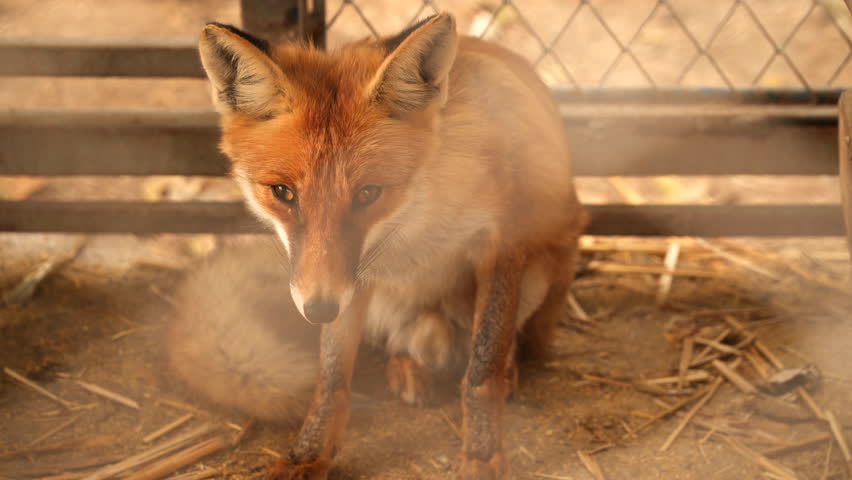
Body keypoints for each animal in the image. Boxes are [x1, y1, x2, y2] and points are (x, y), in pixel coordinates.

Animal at [171, 12, 588, 480]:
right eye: (283, 193)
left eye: (367, 194)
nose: (318, 310)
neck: (416, 216)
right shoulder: (348, 276)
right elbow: (332, 378)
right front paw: (308, 454)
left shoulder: (502, 241)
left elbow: (483, 367)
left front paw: (482, 454)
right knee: (401, 345)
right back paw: (407, 369)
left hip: (538, 276)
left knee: (500, 344)